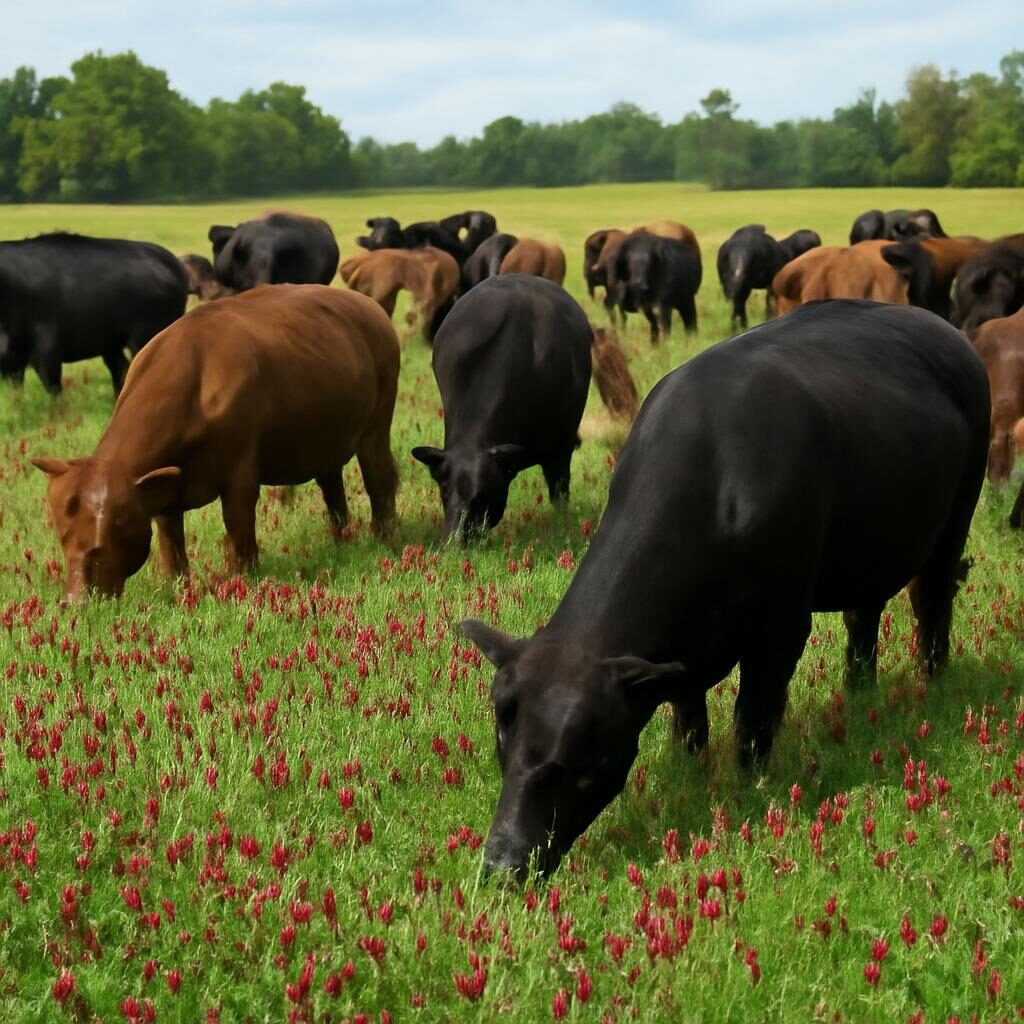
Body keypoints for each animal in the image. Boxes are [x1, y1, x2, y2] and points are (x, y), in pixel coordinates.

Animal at [0, 233, 188, 395]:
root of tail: (172, 262)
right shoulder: (15, 359)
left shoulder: (46, 349)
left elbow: (52, 386)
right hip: (111, 344)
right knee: (121, 370)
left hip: (144, 338)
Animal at [33, 286, 400, 602]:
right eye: (62, 532)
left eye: (117, 524)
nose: (76, 600)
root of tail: (367, 305)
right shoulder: (164, 485)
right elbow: (170, 538)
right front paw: (175, 583)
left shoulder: (240, 475)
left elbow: (239, 529)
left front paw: (242, 579)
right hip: (326, 440)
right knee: (332, 488)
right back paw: (341, 541)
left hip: (376, 427)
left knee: (379, 479)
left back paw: (384, 539)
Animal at [460, 300, 989, 880]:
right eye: (503, 741)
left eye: (582, 758)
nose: (504, 860)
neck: (715, 483)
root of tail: (945, 330)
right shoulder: (680, 653)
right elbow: (689, 713)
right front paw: (687, 765)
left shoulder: (781, 628)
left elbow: (753, 718)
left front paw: (750, 785)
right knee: (863, 615)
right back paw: (859, 688)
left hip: (955, 519)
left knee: (932, 601)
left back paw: (932, 681)